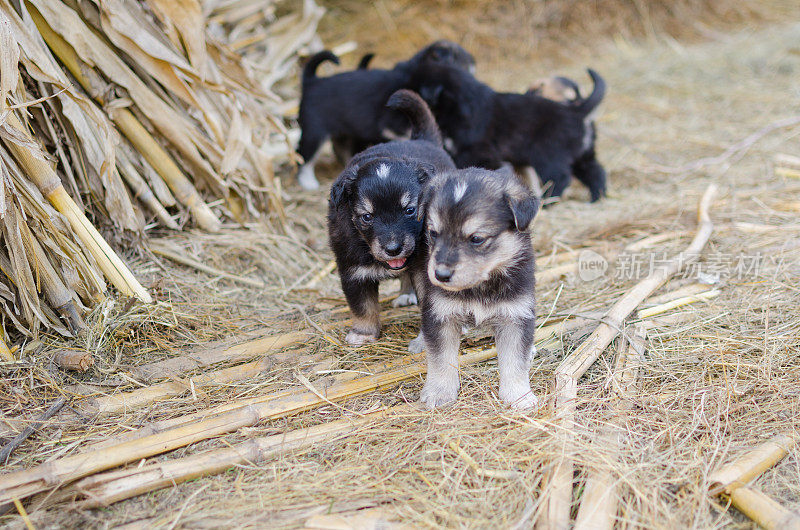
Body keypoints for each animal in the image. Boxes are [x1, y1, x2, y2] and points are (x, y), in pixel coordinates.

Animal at [326, 89, 454, 346]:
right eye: (367, 217)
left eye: (410, 210)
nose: (393, 249)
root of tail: (422, 139)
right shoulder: (352, 270)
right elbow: (362, 306)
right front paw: (363, 334)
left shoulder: (427, 270)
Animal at [410, 167, 540, 406]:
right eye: (433, 233)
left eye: (477, 238)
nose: (440, 275)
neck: (480, 286)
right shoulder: (440, 314)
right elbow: (441, 358)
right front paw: (439, 392)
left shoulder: (516, 315)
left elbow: (515, 360)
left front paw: (518, 395)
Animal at [412, 62, 608, 202]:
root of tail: (578, 111)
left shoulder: (475, 152)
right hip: (582, 155)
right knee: (595, 172)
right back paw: (597, 197)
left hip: (549, 156)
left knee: (559, 178)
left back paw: (549, 200)